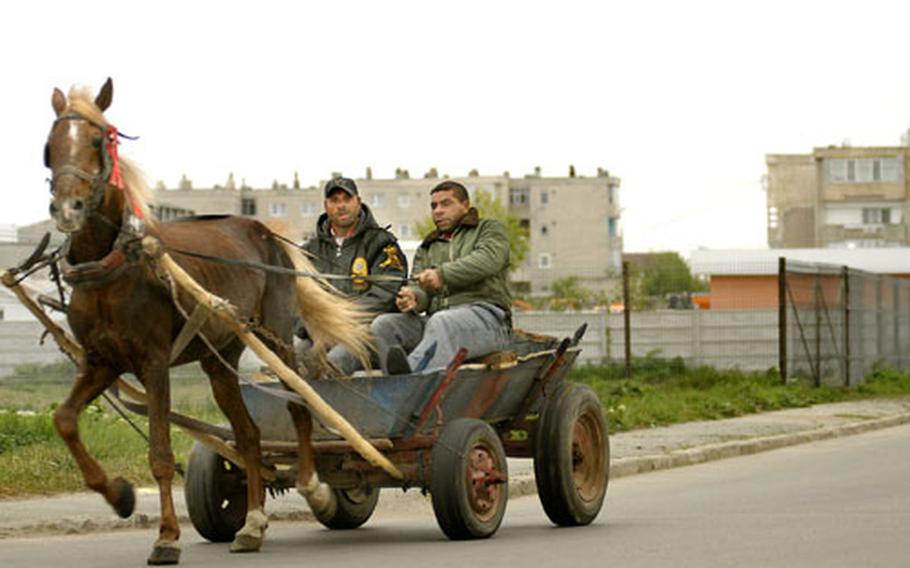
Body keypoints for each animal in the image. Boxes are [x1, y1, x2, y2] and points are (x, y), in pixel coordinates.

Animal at [45, 79, 374, 564]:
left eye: (97, 138)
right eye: (50, 145)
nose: (68, 207)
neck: (114, 268)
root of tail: (264, 232)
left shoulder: (154, 363)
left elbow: (161, 453)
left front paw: (166, 536)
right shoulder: (101, 361)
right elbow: (65, 420)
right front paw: (119, 495)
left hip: (276, 338)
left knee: (299, 403)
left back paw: (313, 485)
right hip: (220, 359)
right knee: (249, 435)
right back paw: (252, 524)